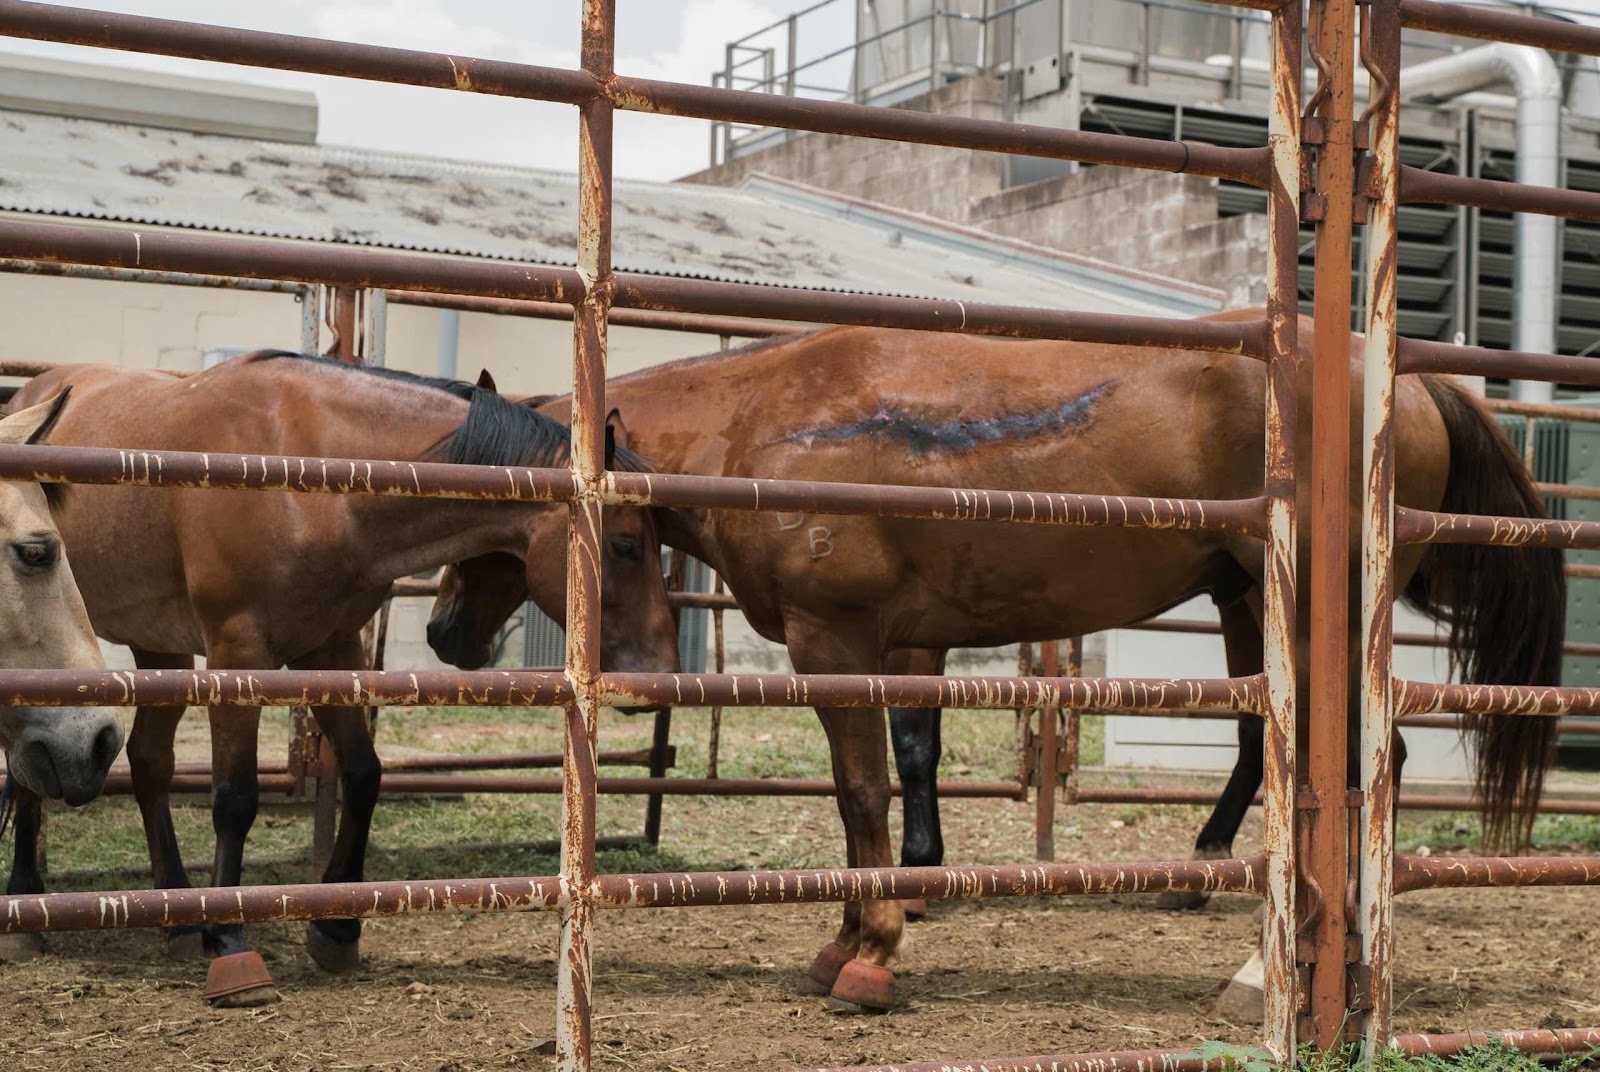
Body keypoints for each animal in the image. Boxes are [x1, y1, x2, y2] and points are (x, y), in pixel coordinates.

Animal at [7, 353, 679, 1005]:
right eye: (625, 546)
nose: (661, 668)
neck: (312, 471)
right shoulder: (238, 651)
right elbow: (235, 798)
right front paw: (230, 940)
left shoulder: (329, 647)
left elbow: (362, 774)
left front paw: (336, 926)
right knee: (34, 772)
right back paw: (28, 905)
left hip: (160, 646)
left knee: (149, 763)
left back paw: (174, 913)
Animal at [424, 310, 1563, 1013]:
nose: (441, 636)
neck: (769, 429)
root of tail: (1409, 383)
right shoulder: (893, 646)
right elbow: (888, 777)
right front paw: (851, 934)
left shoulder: (837, 640)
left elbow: (863, 789)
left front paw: (873, 951)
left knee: (1368, 768)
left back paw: (1280, 967)